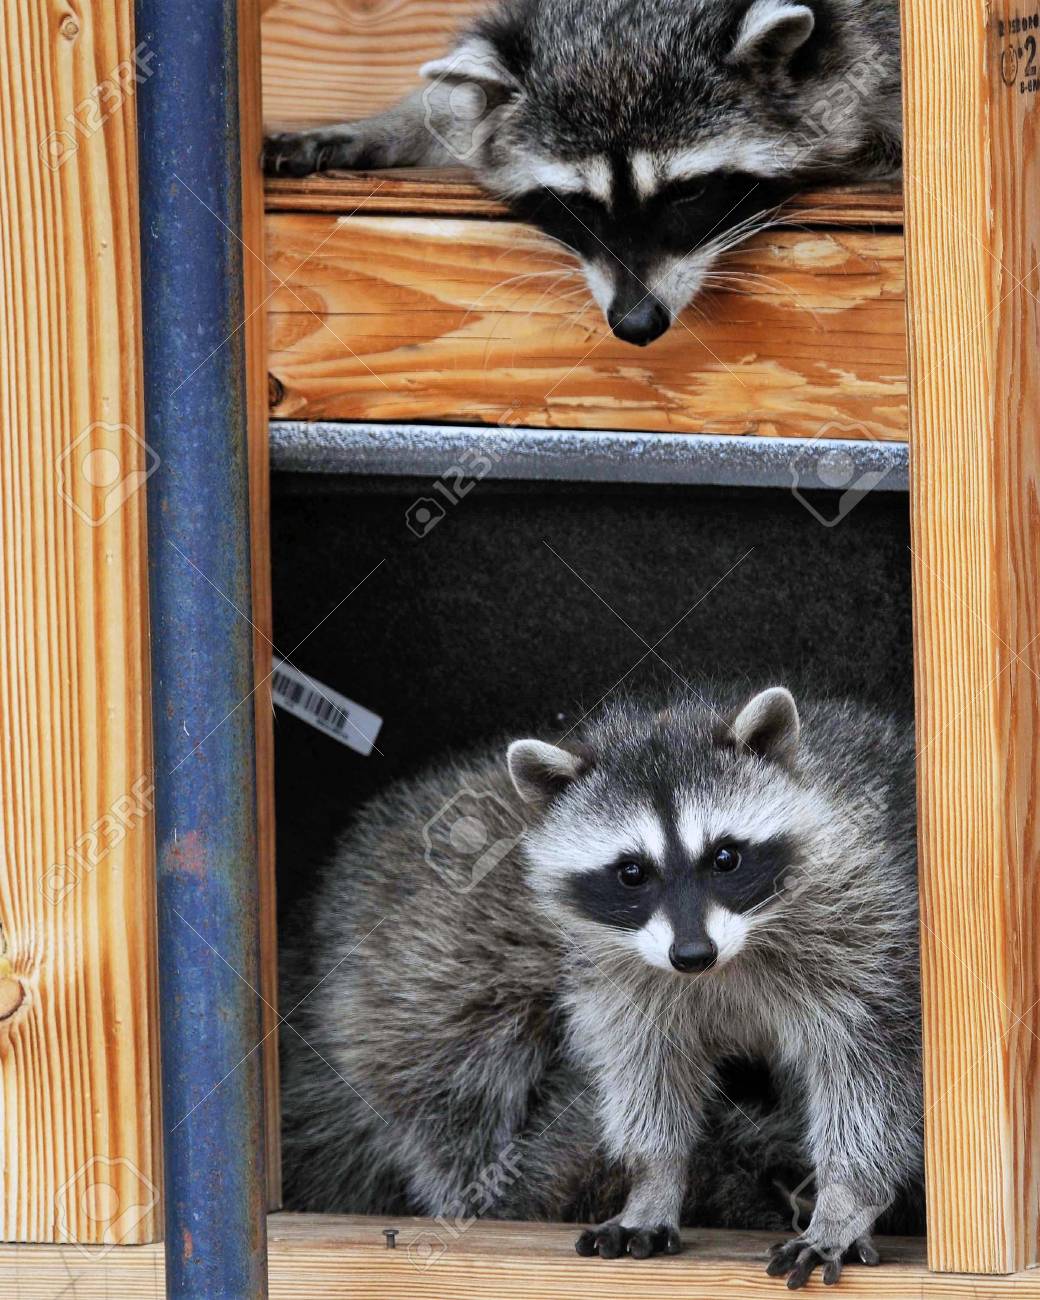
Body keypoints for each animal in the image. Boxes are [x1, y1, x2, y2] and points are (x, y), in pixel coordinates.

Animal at [281, 683, 922, 1288]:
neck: (725, 962)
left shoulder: (869, 930)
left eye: (725, 858)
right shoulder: (612, 977)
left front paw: (844, 1200)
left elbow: (872, 1075)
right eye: (631, 873)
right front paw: (653, 1181)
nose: (692, 954)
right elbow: (644, 1069)